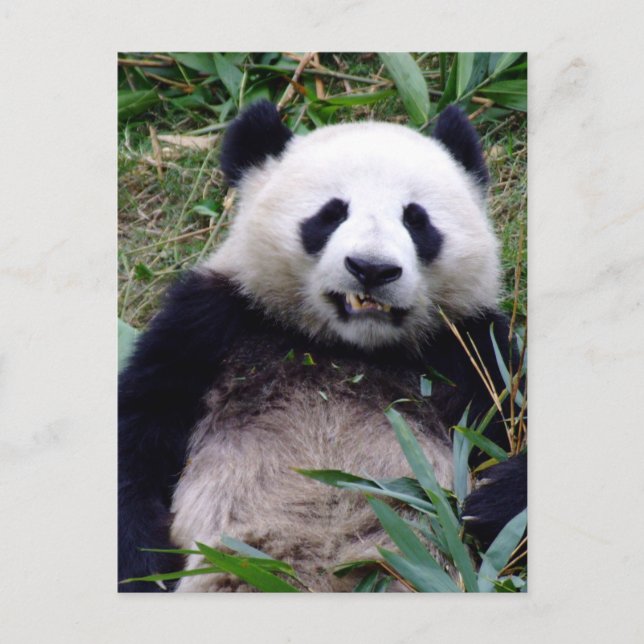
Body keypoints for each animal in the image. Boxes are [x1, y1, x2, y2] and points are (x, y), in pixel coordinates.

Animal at [118, 100, 527, 592]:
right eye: (331, 214)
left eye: (416, 220)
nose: (371, 269)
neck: (347, 348)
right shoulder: (211, 322)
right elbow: (141, 429)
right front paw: (143, 566)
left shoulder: (470, 349)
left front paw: (490, 505)